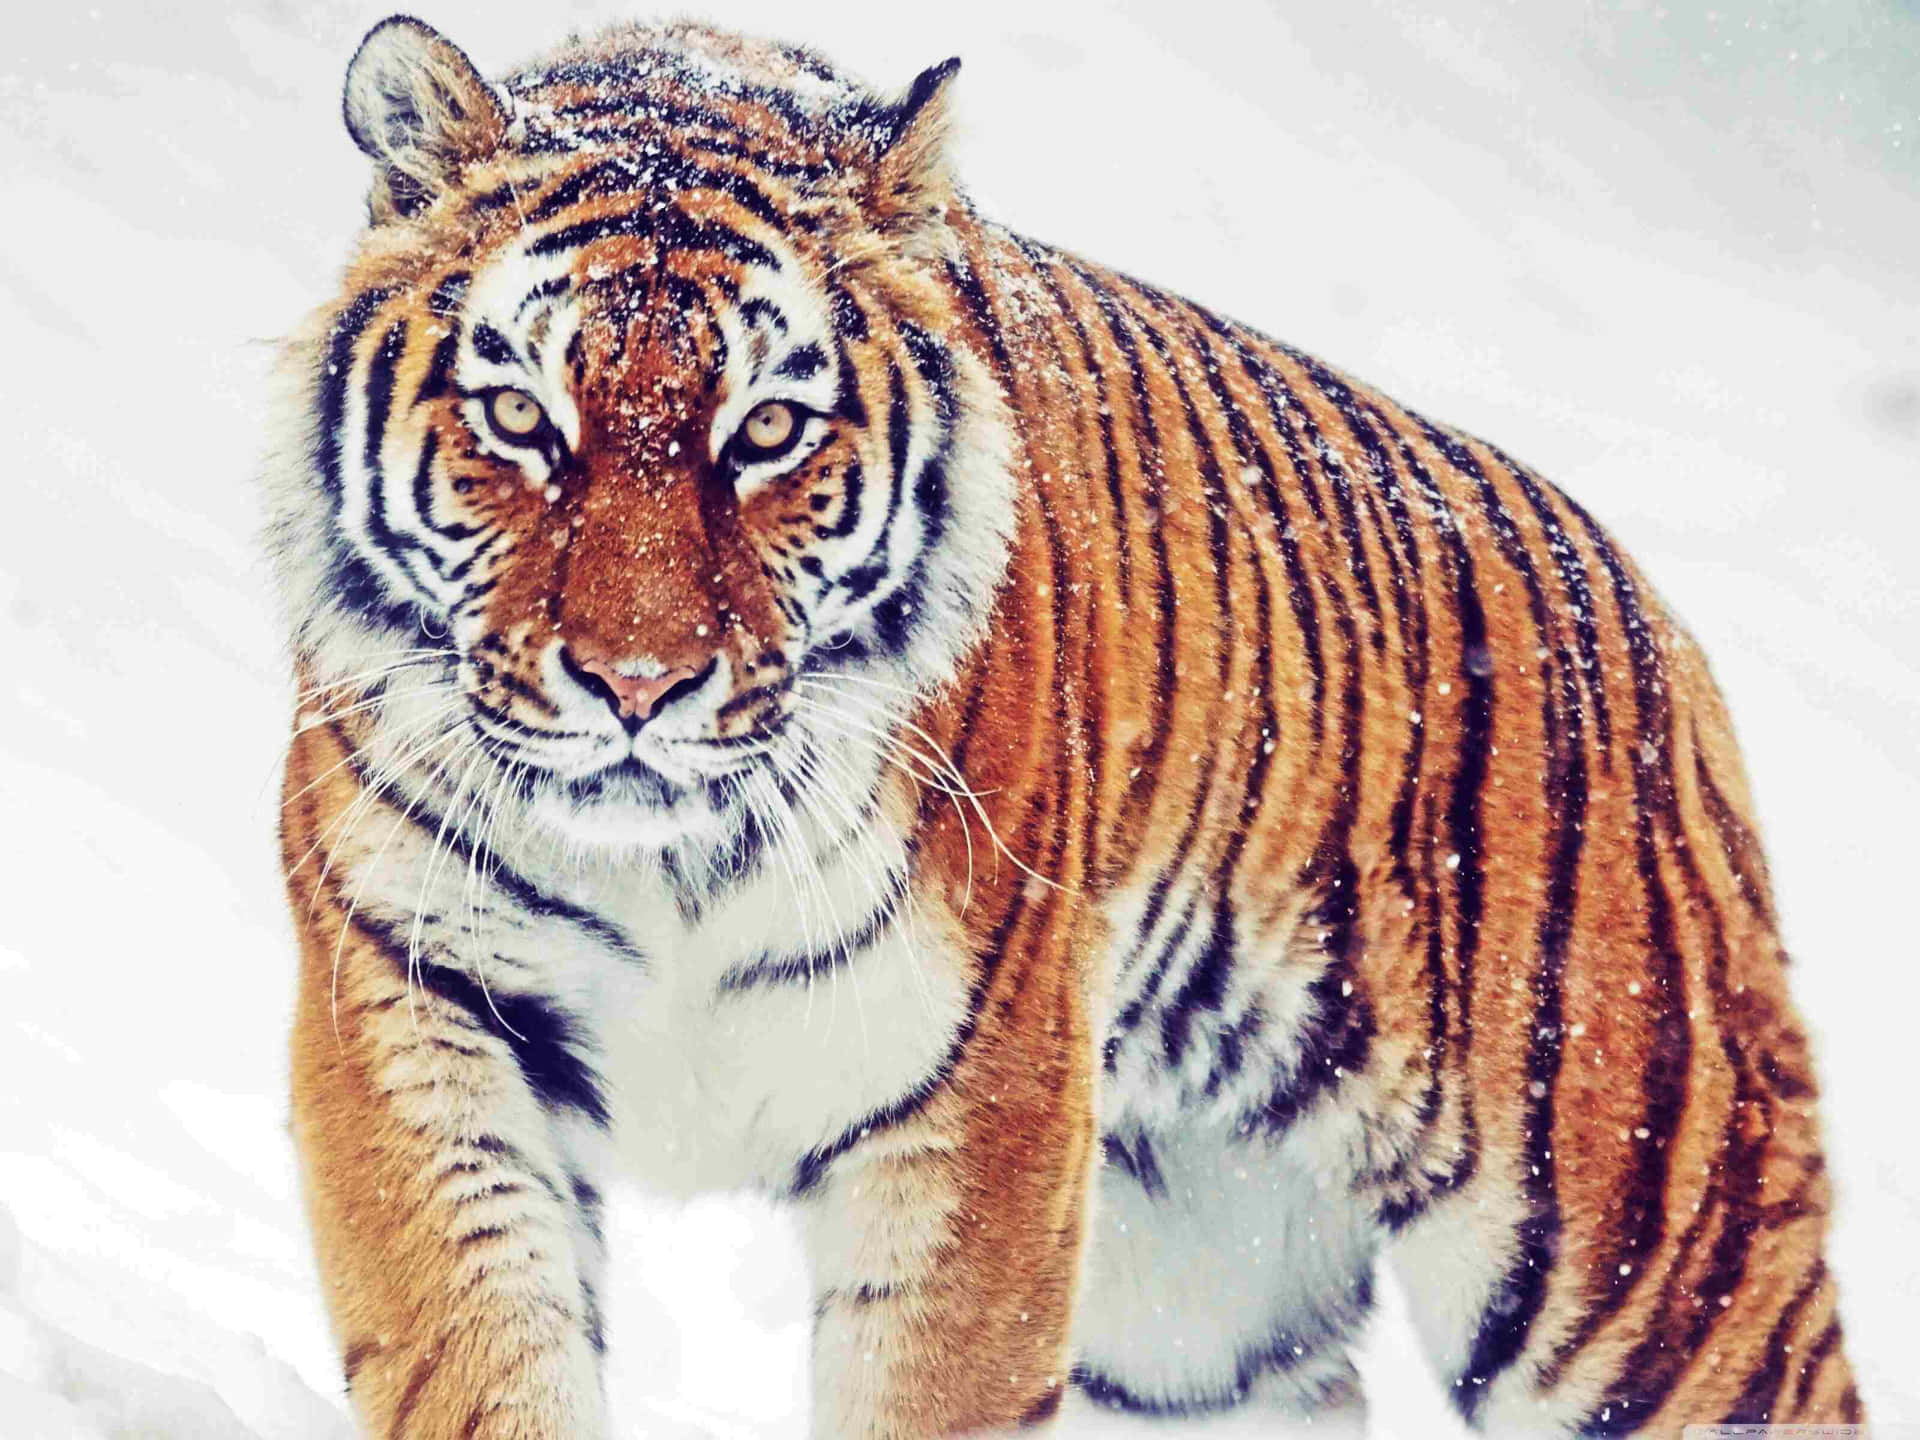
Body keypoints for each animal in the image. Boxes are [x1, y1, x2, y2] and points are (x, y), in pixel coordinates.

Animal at [266, 13, 1860, 1438]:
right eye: (521, 418)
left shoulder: (981, 1104)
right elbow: (482, 1358)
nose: (638, 684)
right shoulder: (417, 1010)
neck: (672, 866)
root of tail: (1650, 614)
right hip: (1203, 1316)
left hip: (1650, 1267)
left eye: (767, 432)